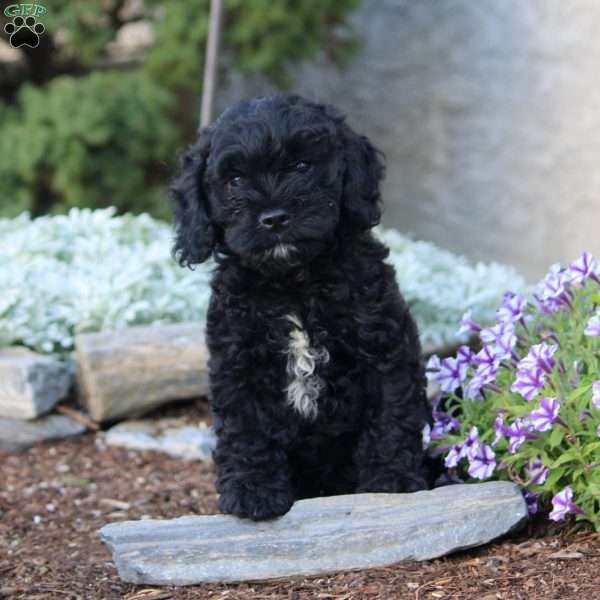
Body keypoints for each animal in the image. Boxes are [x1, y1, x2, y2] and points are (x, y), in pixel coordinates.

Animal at [172, 94, 432, 520]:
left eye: (302, 166)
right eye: (235, 180)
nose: (274, 218)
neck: (293, 282)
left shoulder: (384, 350)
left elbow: (390, 416)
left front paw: (391, 480)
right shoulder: (237, 363)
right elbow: (246, 430)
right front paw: (252, 492)